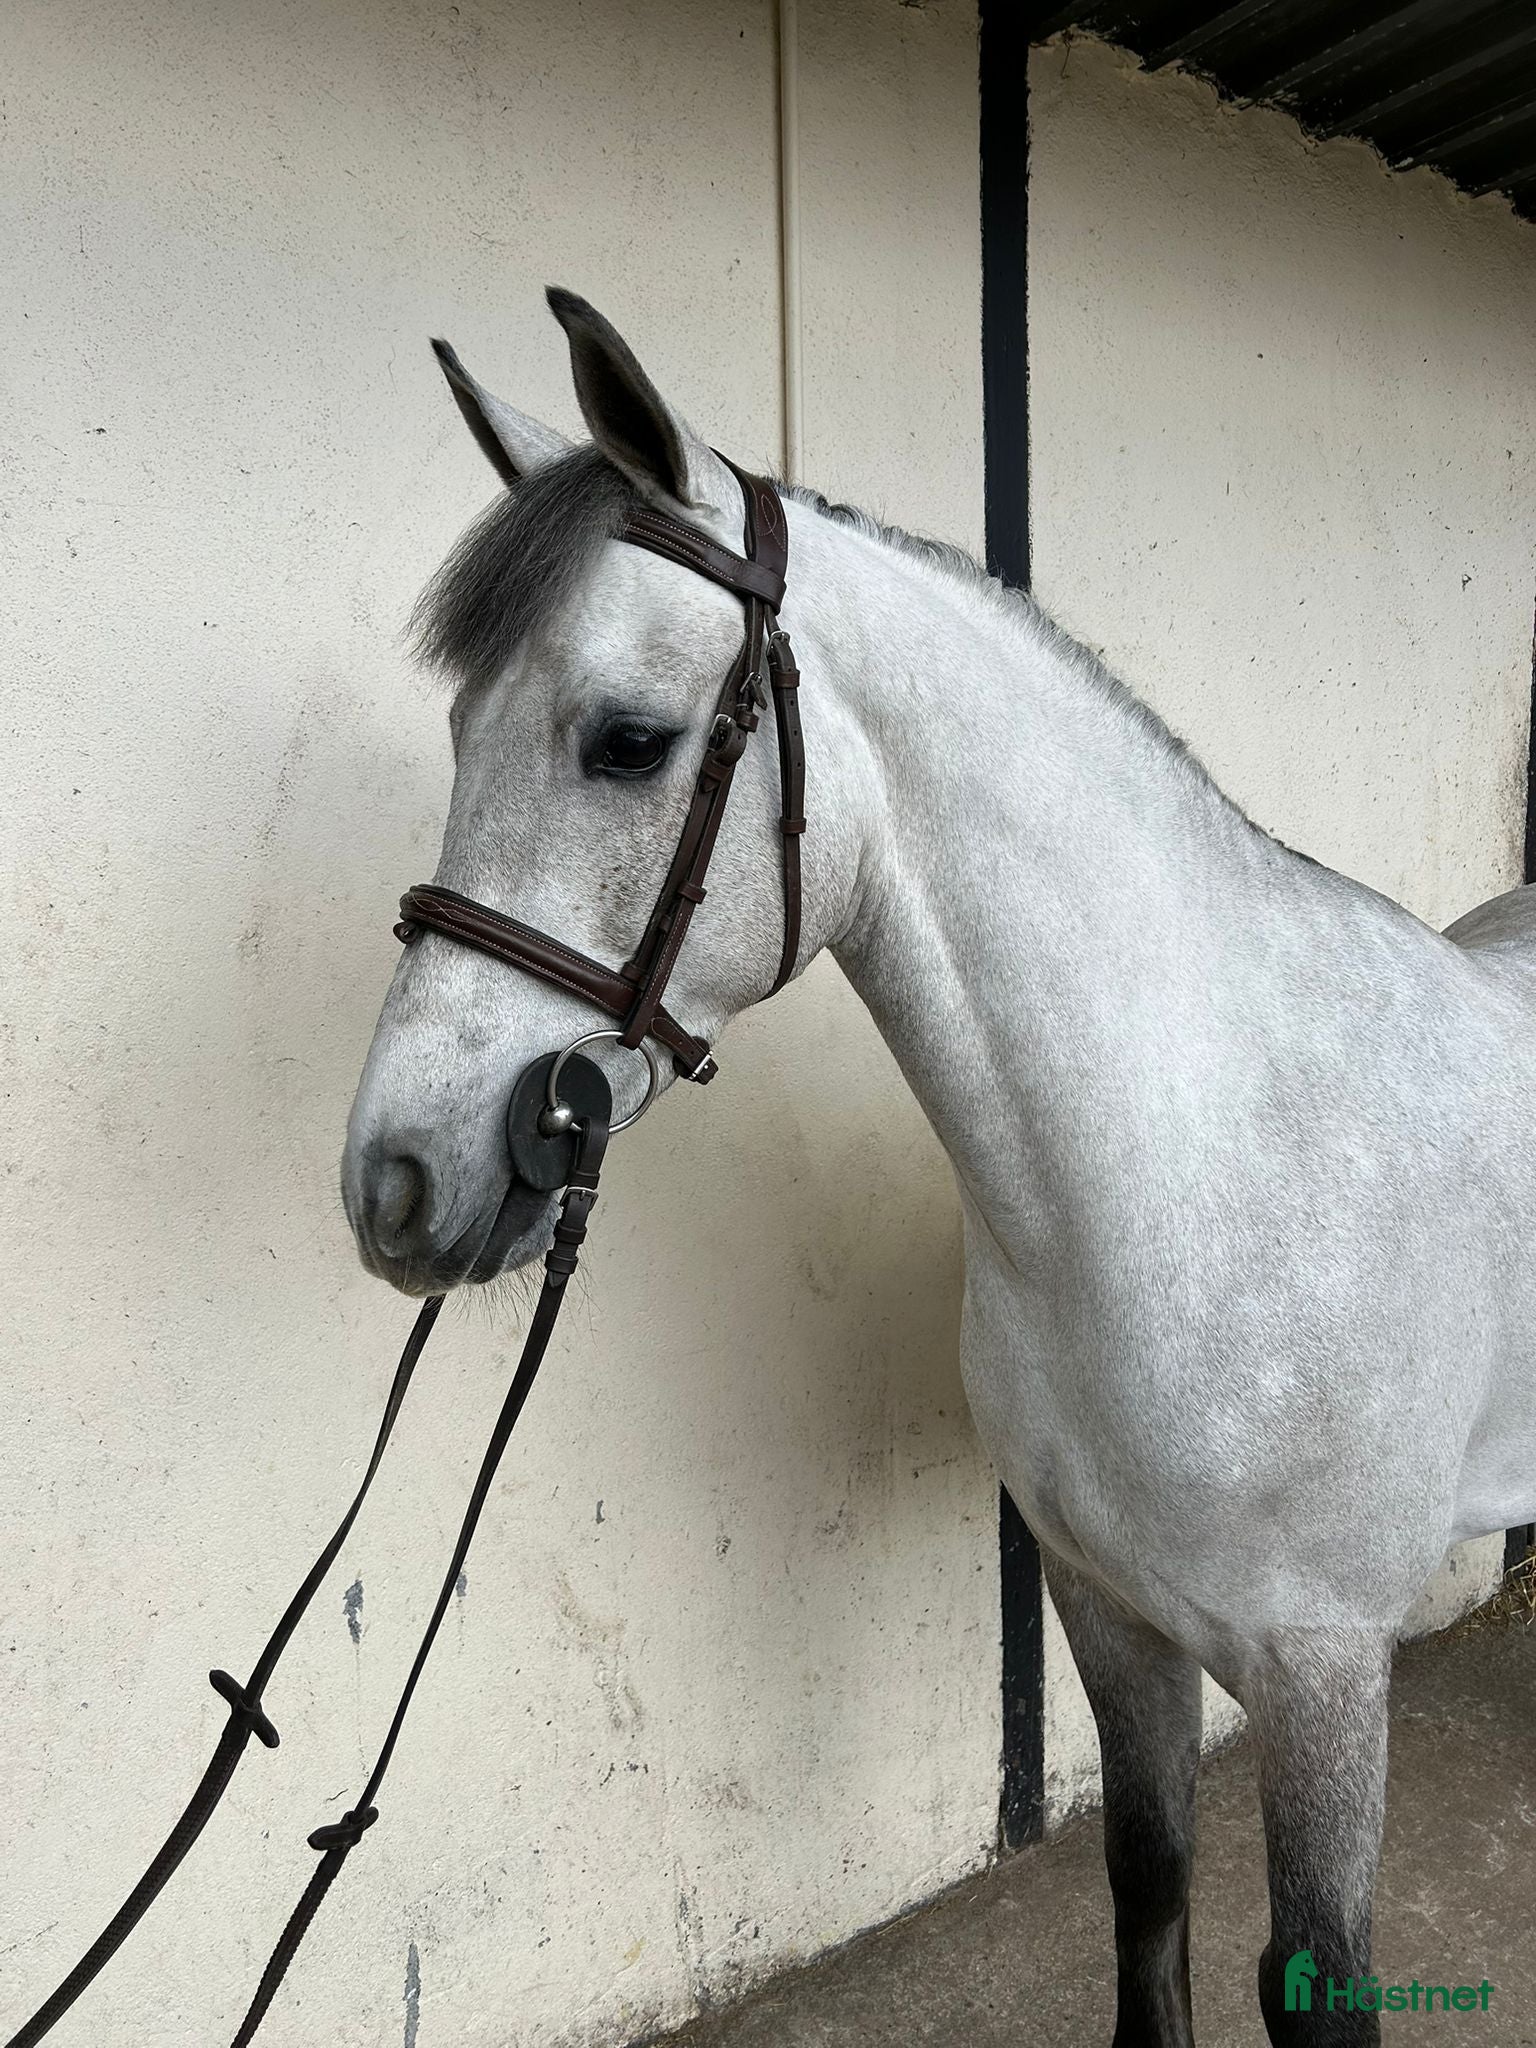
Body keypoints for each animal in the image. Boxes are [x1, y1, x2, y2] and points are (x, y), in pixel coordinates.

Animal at [341, 288, 1536, 2046]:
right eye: (453, 727)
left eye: (626, 743)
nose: (397, 1182)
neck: (1205, 1175)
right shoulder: (1109, 1617)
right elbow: (1148, 1895)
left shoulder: (1324, 1676)